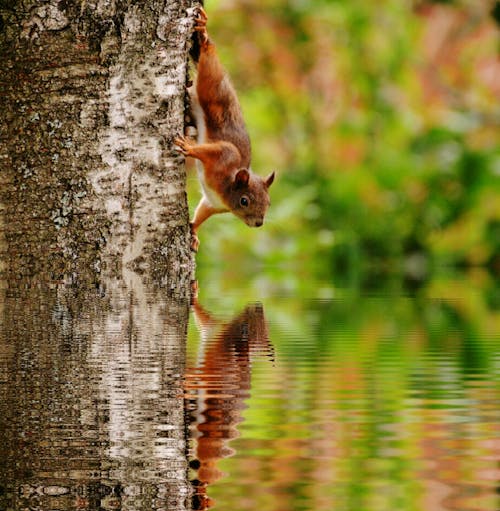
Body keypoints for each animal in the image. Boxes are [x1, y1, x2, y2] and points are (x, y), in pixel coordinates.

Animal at [175, 7, 278, 252]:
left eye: (269, 202)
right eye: (244, 200)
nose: (259, 223)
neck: (227, 187)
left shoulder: (213, 203)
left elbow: (202, 213)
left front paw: (194, 232)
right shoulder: (224, 157)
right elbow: (221, 149)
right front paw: (189, 149)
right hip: (210, 85)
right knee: (208, 57)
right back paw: (204, 35)